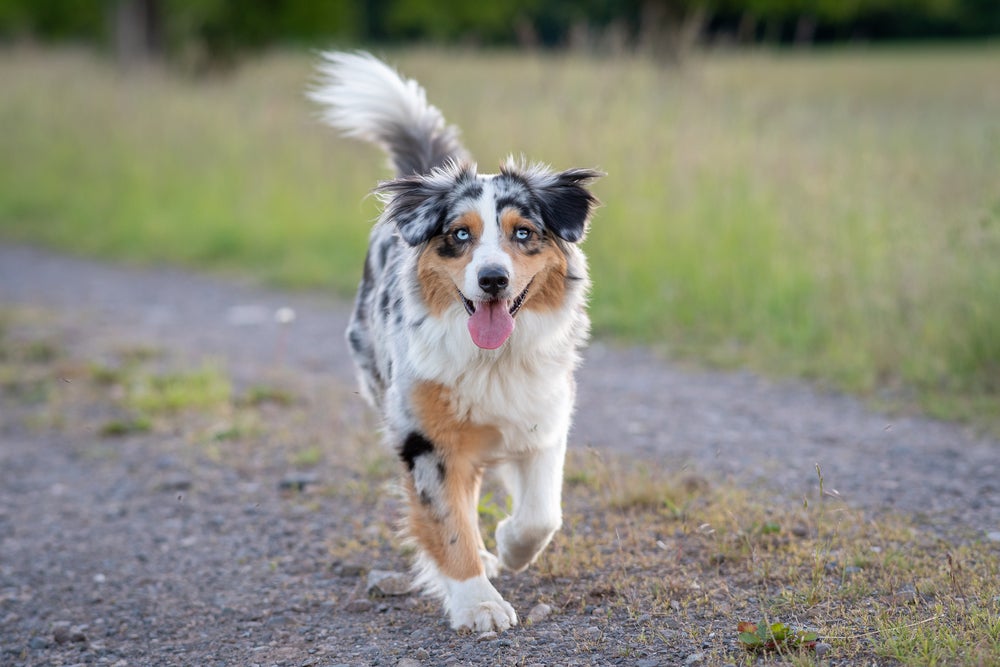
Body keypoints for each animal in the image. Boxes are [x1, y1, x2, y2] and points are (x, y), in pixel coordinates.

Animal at [308, 52, 600, 632]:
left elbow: (541, 515)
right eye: (460, 235)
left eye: (523, 233)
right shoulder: (426, 438)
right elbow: (448, 524)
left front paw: (510, 546)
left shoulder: (543, 417)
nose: (493, 279)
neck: (493, 360)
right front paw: (478, 602)